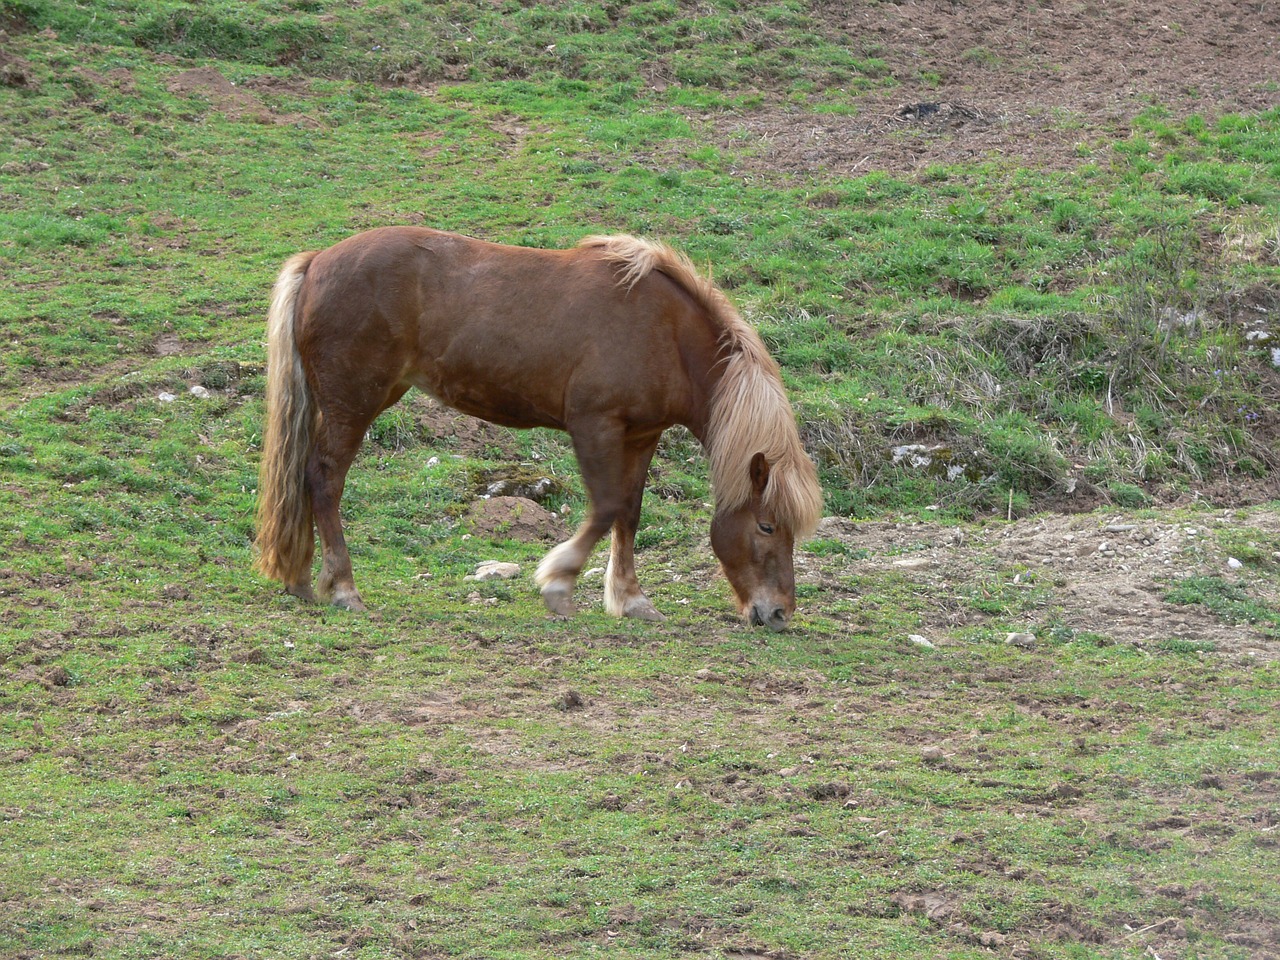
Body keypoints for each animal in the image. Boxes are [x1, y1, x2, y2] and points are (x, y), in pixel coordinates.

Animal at [254, 226, 824, 632]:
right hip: (353, 406)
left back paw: (303, 580)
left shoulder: (642, 435)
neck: (664, 332)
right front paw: (558, 584)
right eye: (767, 525)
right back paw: (342, 588)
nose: (779, 613)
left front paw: (631, 600)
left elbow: (629, 513)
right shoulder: (594, 426)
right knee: (324, 480)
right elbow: (606, 507)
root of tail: (316, 261)